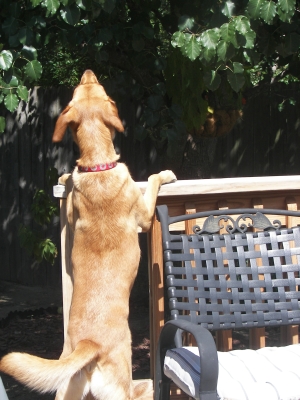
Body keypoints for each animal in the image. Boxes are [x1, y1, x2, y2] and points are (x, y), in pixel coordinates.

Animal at [0, 70, 176, 398]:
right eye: (103, 90)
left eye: (80, 90)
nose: (88, 73)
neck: (97, 166)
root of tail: (88, 344)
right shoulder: (144, 216)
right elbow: (152, 181)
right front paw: (164, 174)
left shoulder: (72, 212)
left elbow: (70, 188)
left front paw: (65, 177)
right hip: (121, 386)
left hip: (65, 388)